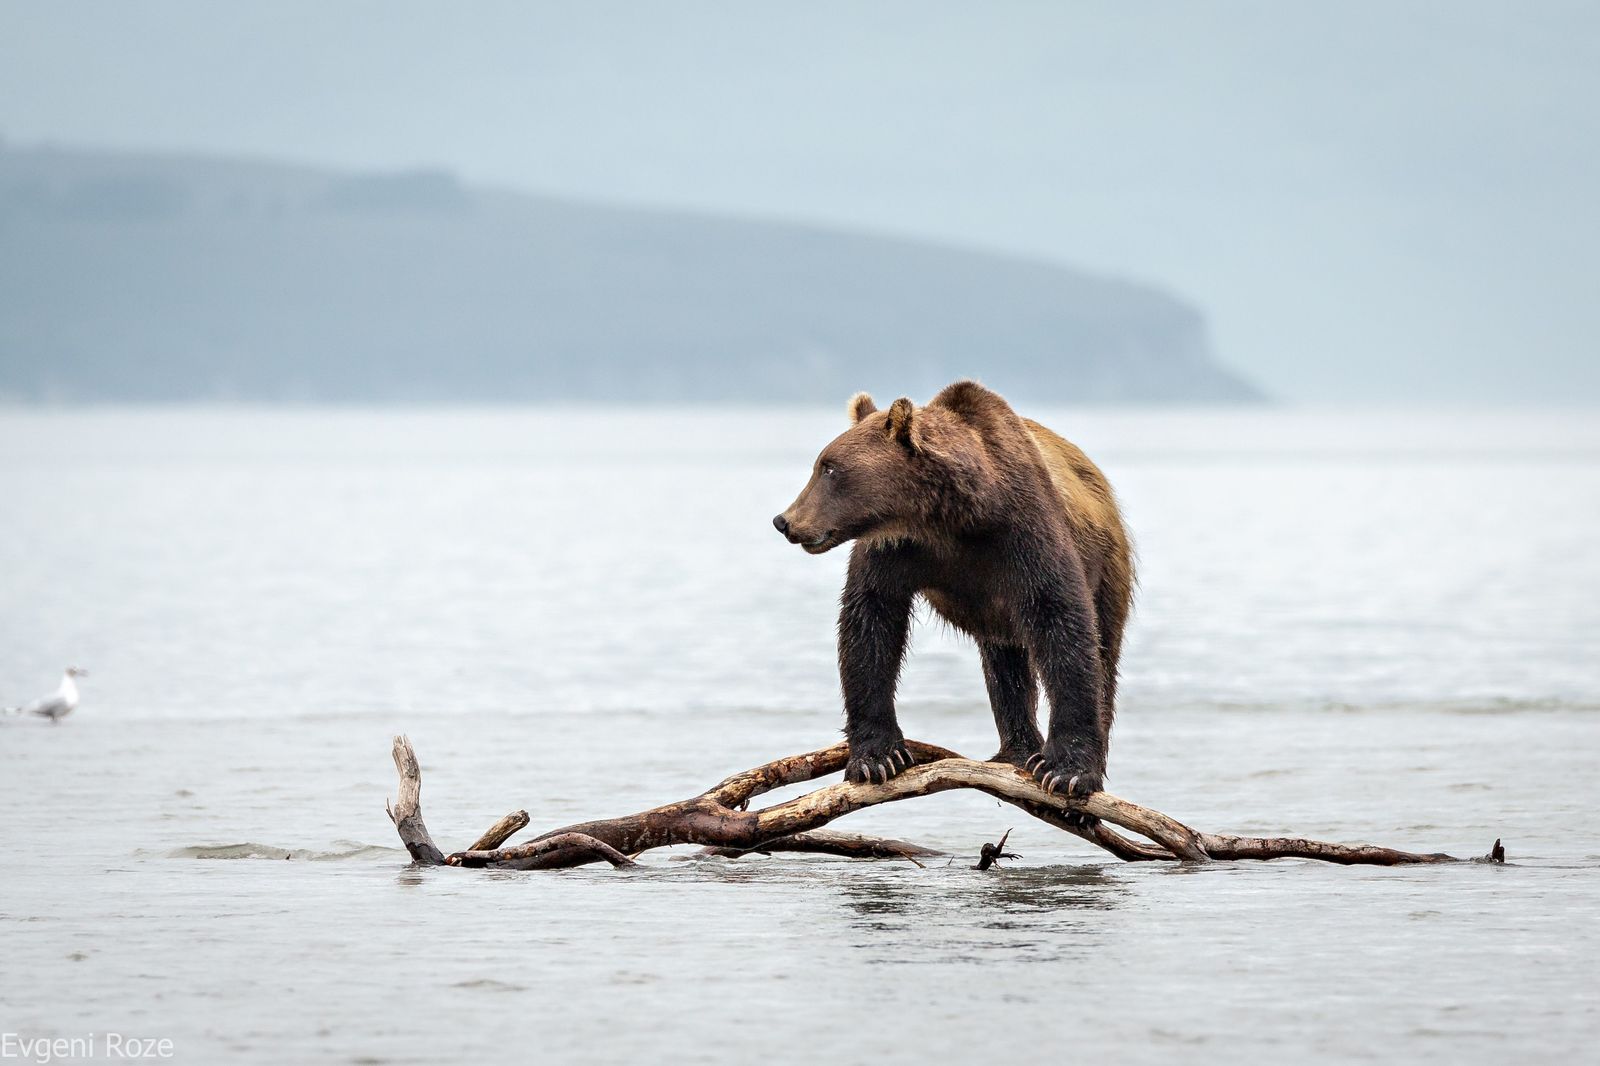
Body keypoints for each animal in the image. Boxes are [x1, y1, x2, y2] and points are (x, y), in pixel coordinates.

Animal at [777, 382, 1139, 797]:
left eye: (829, 467)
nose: (785, 520)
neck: (951, 517)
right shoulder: (893, 550)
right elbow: (870, 625)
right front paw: (877, 758)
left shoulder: (1026, 534)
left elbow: (1062, 624)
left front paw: (1068, 771)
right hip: (999, 619)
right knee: (1005, 667)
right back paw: (1015, 750)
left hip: (1109, 566)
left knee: (1104, 653)